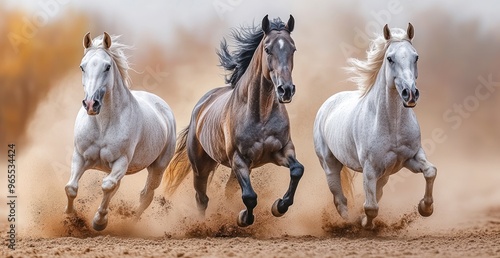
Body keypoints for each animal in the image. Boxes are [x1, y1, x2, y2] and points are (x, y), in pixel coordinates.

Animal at [65, 32, 177, 232]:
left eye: (107, 67)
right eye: (82, 67)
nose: (91, 104)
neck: (103, 124)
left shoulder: (121, 161)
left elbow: (107, 186)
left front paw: (99, 222)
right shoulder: (80, 157)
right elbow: (71, 187)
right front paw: (72, 218)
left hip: (157, 168)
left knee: (146, 195)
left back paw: (131, 224)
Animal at [165, 15, 304, 227]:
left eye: (293, 48)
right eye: (267, 49)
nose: (285, 90)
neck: (261, 115)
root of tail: (200, 106)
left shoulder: (282, 150)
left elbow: (297, 170)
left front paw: (279, 207)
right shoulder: (239, 159)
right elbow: (249, 196)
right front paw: (243, 218)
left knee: (227, 191)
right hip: (202, 167)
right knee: (202, 198)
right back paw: (203, 225)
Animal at [314, 24, 436, 229]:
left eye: (416, 56)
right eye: (390, 58)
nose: (410, 93)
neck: (393, 125)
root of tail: (327, 104)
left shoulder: (411, 157)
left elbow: (430, 171)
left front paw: (425, 208)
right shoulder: (370, 168)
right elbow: (371, 207)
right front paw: (365, 224)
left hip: (384, 174)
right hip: (330, 165)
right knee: (340, 199)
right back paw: (348, 223)